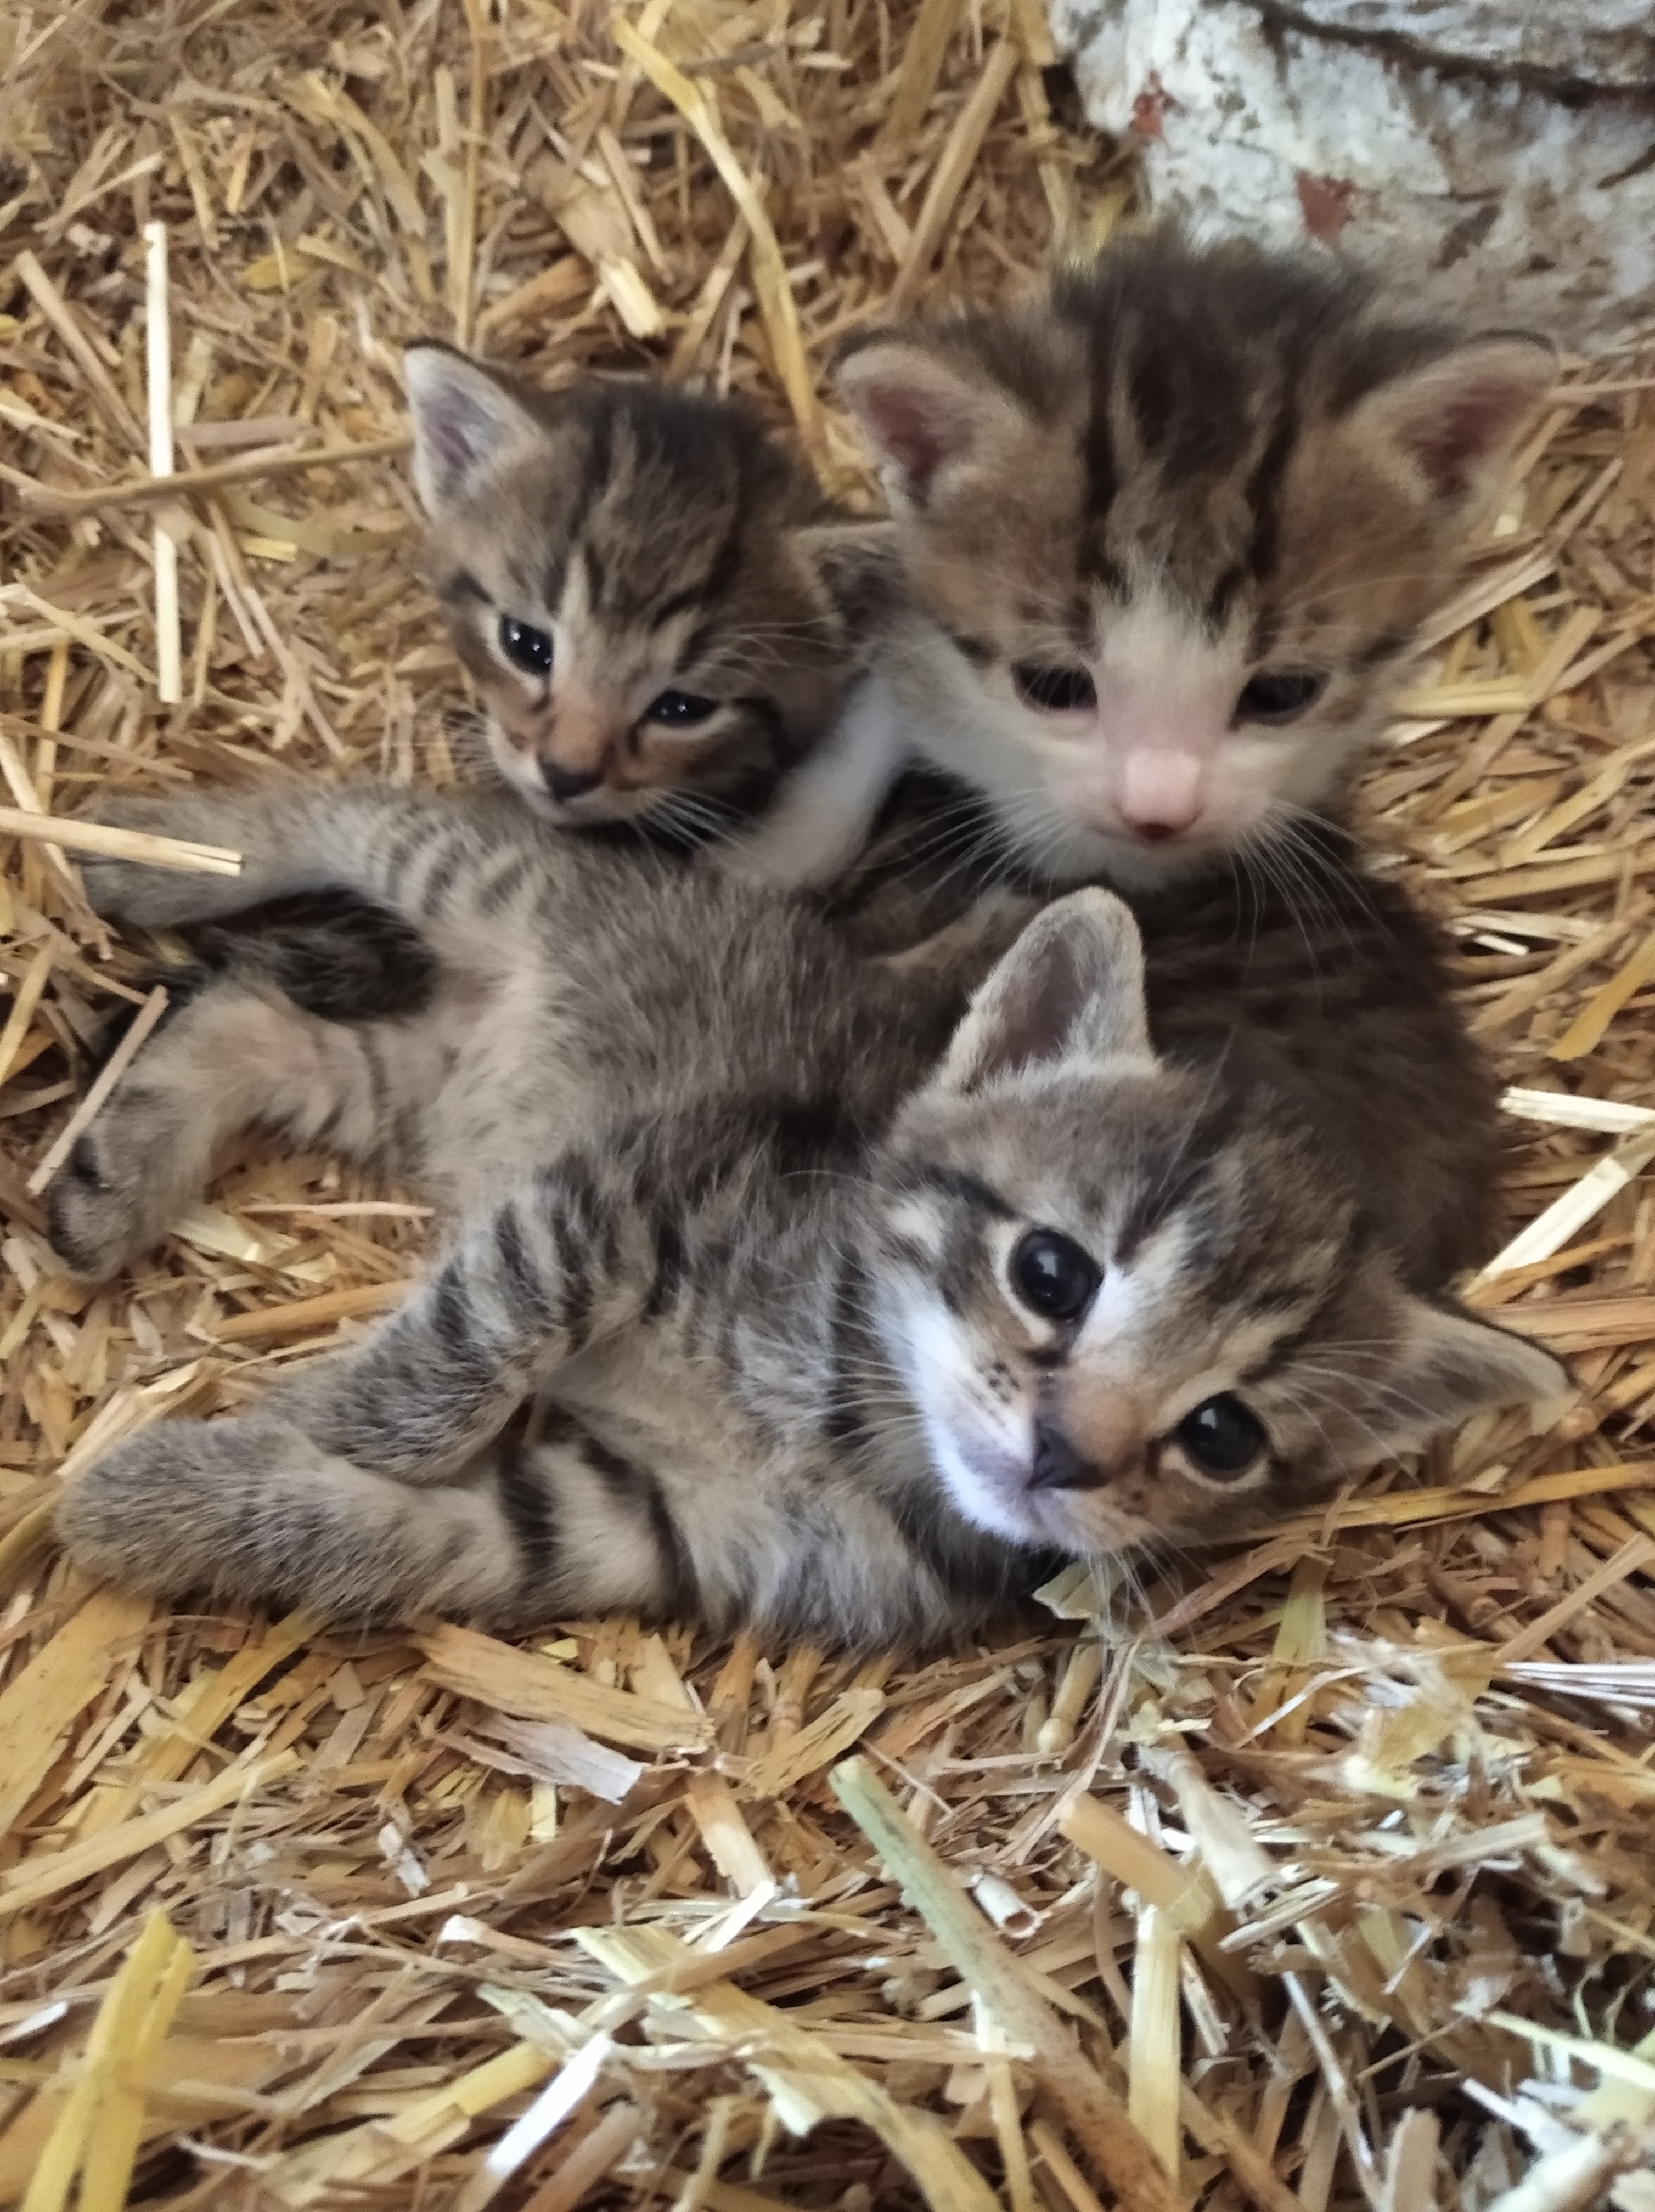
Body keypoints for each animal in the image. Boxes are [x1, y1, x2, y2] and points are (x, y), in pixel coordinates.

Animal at [47, 781, 1563, 1648]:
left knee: (256, 1021)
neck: (848, 1422)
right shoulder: (618, 1201)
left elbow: (401, 1531)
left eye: (1220, 1435)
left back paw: (121, 1166)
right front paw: (313, 1424)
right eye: (1051, 1271)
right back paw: (161, 847)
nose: (1067, 1458)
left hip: (415, 1080)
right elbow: (456, 1357)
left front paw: (164, 1506)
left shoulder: (638, 1521)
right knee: (347, 814)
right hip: (504, 887)